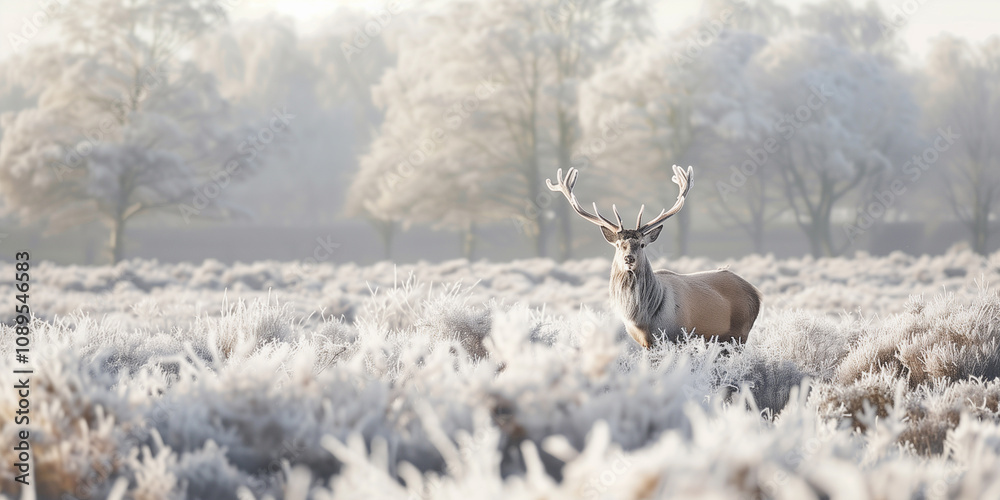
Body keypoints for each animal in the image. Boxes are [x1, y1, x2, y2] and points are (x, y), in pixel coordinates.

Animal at [546, 165, 762, 348]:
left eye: (642, 244)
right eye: (619, 245)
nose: (629, 258)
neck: (643, 319)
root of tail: (756, 293)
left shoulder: (678, 336)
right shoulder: (644, 342)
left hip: (740, 333)